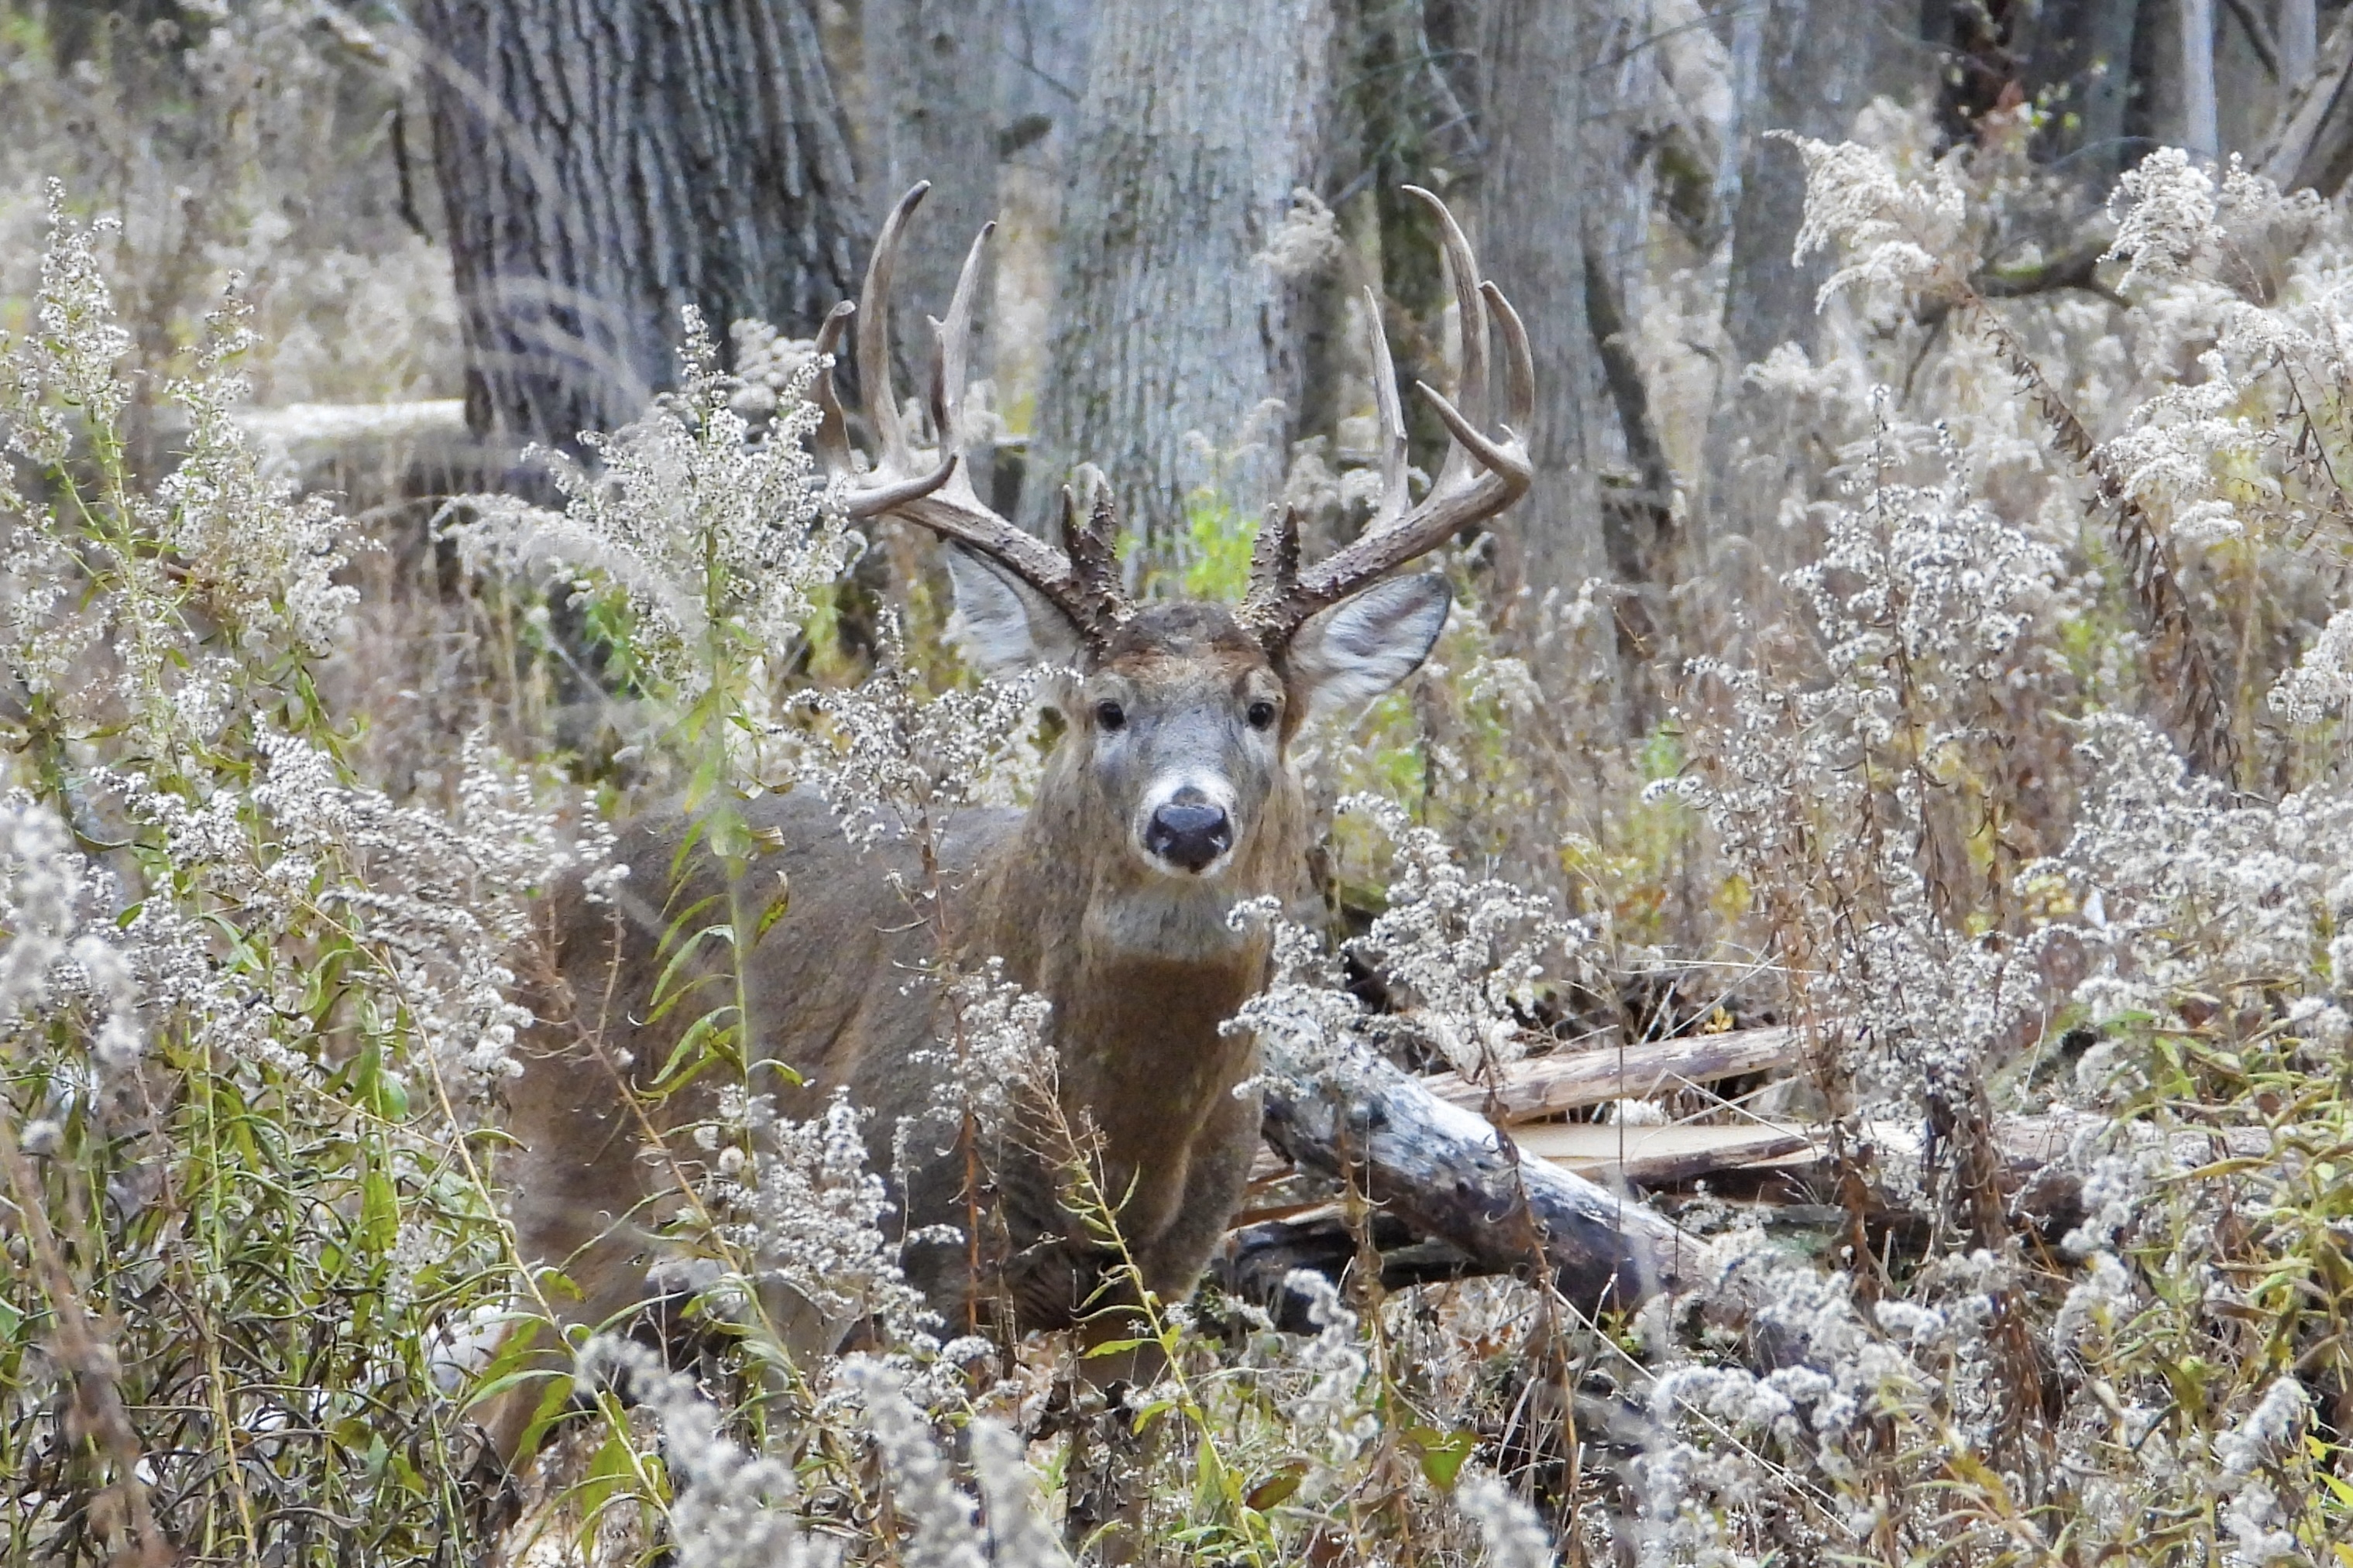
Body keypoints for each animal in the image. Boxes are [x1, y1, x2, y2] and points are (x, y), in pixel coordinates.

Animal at [479, 182, 1534, 1474]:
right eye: (1105, 706)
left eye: (1262, 708)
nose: (1191, 819)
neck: (1109, 1155)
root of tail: (542, 896)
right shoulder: (916, 1265)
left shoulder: (1157, 1289)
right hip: (576, 1196)